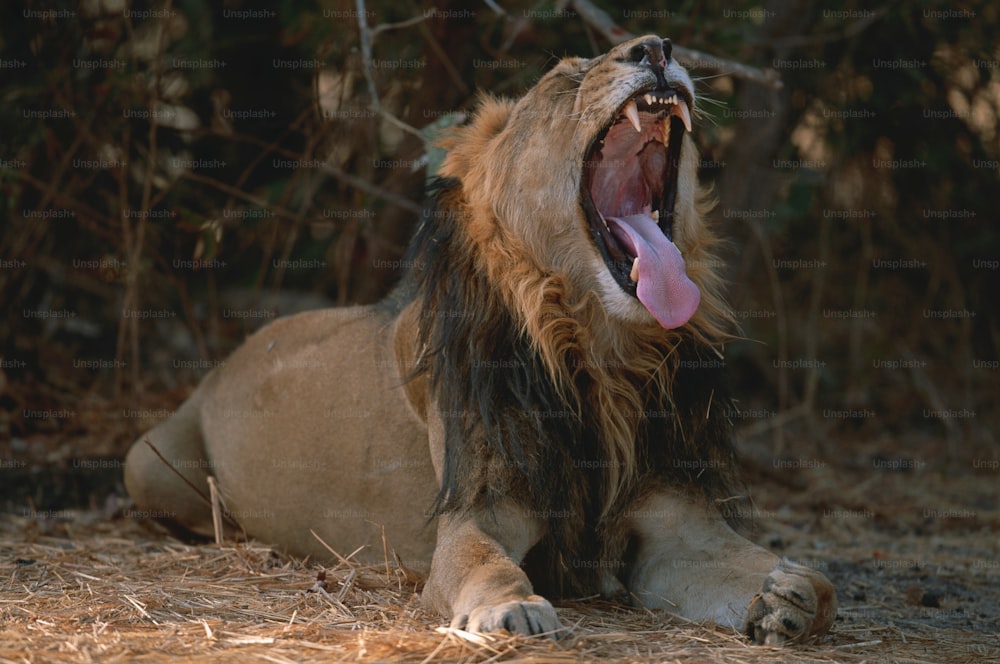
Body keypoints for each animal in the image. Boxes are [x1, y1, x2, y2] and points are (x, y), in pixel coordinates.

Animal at [125, 35, 836, 644]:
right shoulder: (476, 510)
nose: (657, 48)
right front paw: (511, 609)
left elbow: (778, 572)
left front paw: (795, 596)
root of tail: (224, 362)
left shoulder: (678, 525)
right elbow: (484, 564)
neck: (602, 356)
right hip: (143, 464)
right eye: (564, 79)